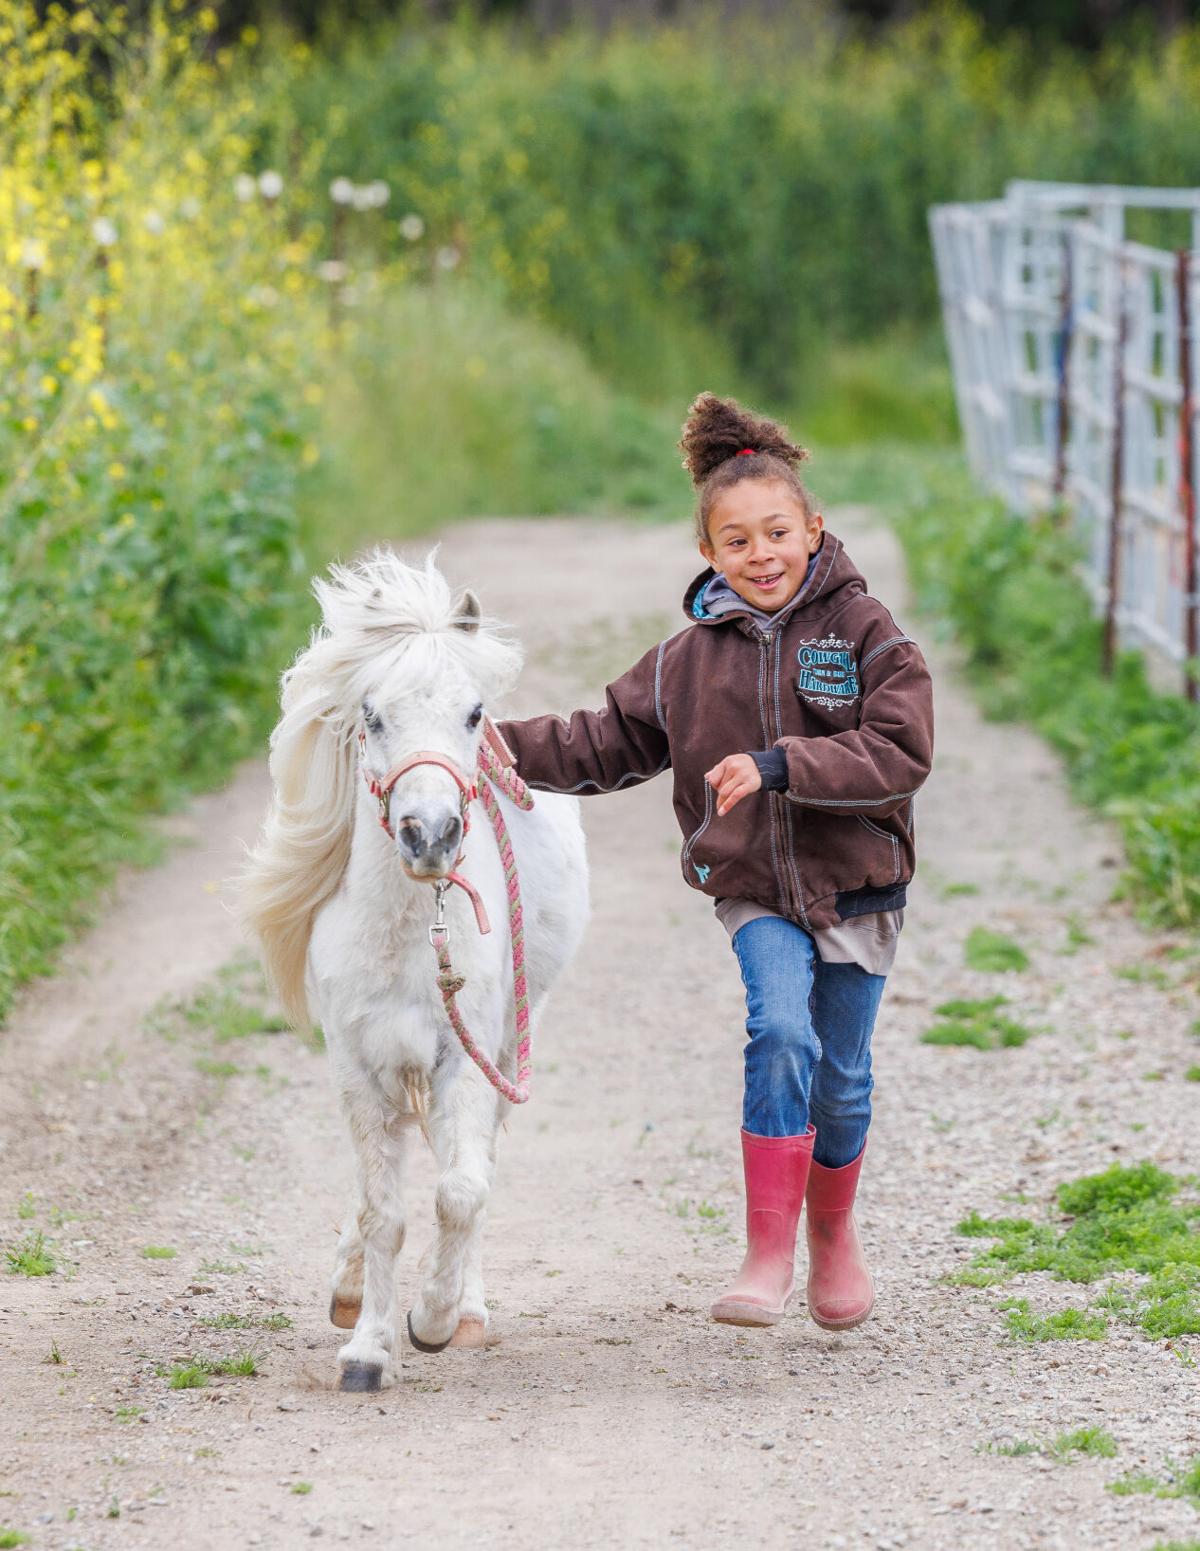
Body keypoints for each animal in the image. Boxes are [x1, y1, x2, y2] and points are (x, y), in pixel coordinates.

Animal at [240, 549, 592, 1395]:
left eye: (472, 714)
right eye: (371, 714)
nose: (429, 834)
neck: (408, 936)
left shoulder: (463, 1060)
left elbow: (460, 1192)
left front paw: (431, 1319)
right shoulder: (357, 1064)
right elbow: (383, 1211)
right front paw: (366, 1347)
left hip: (505, 1054)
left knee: (476, 1165)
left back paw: (465, 1305)